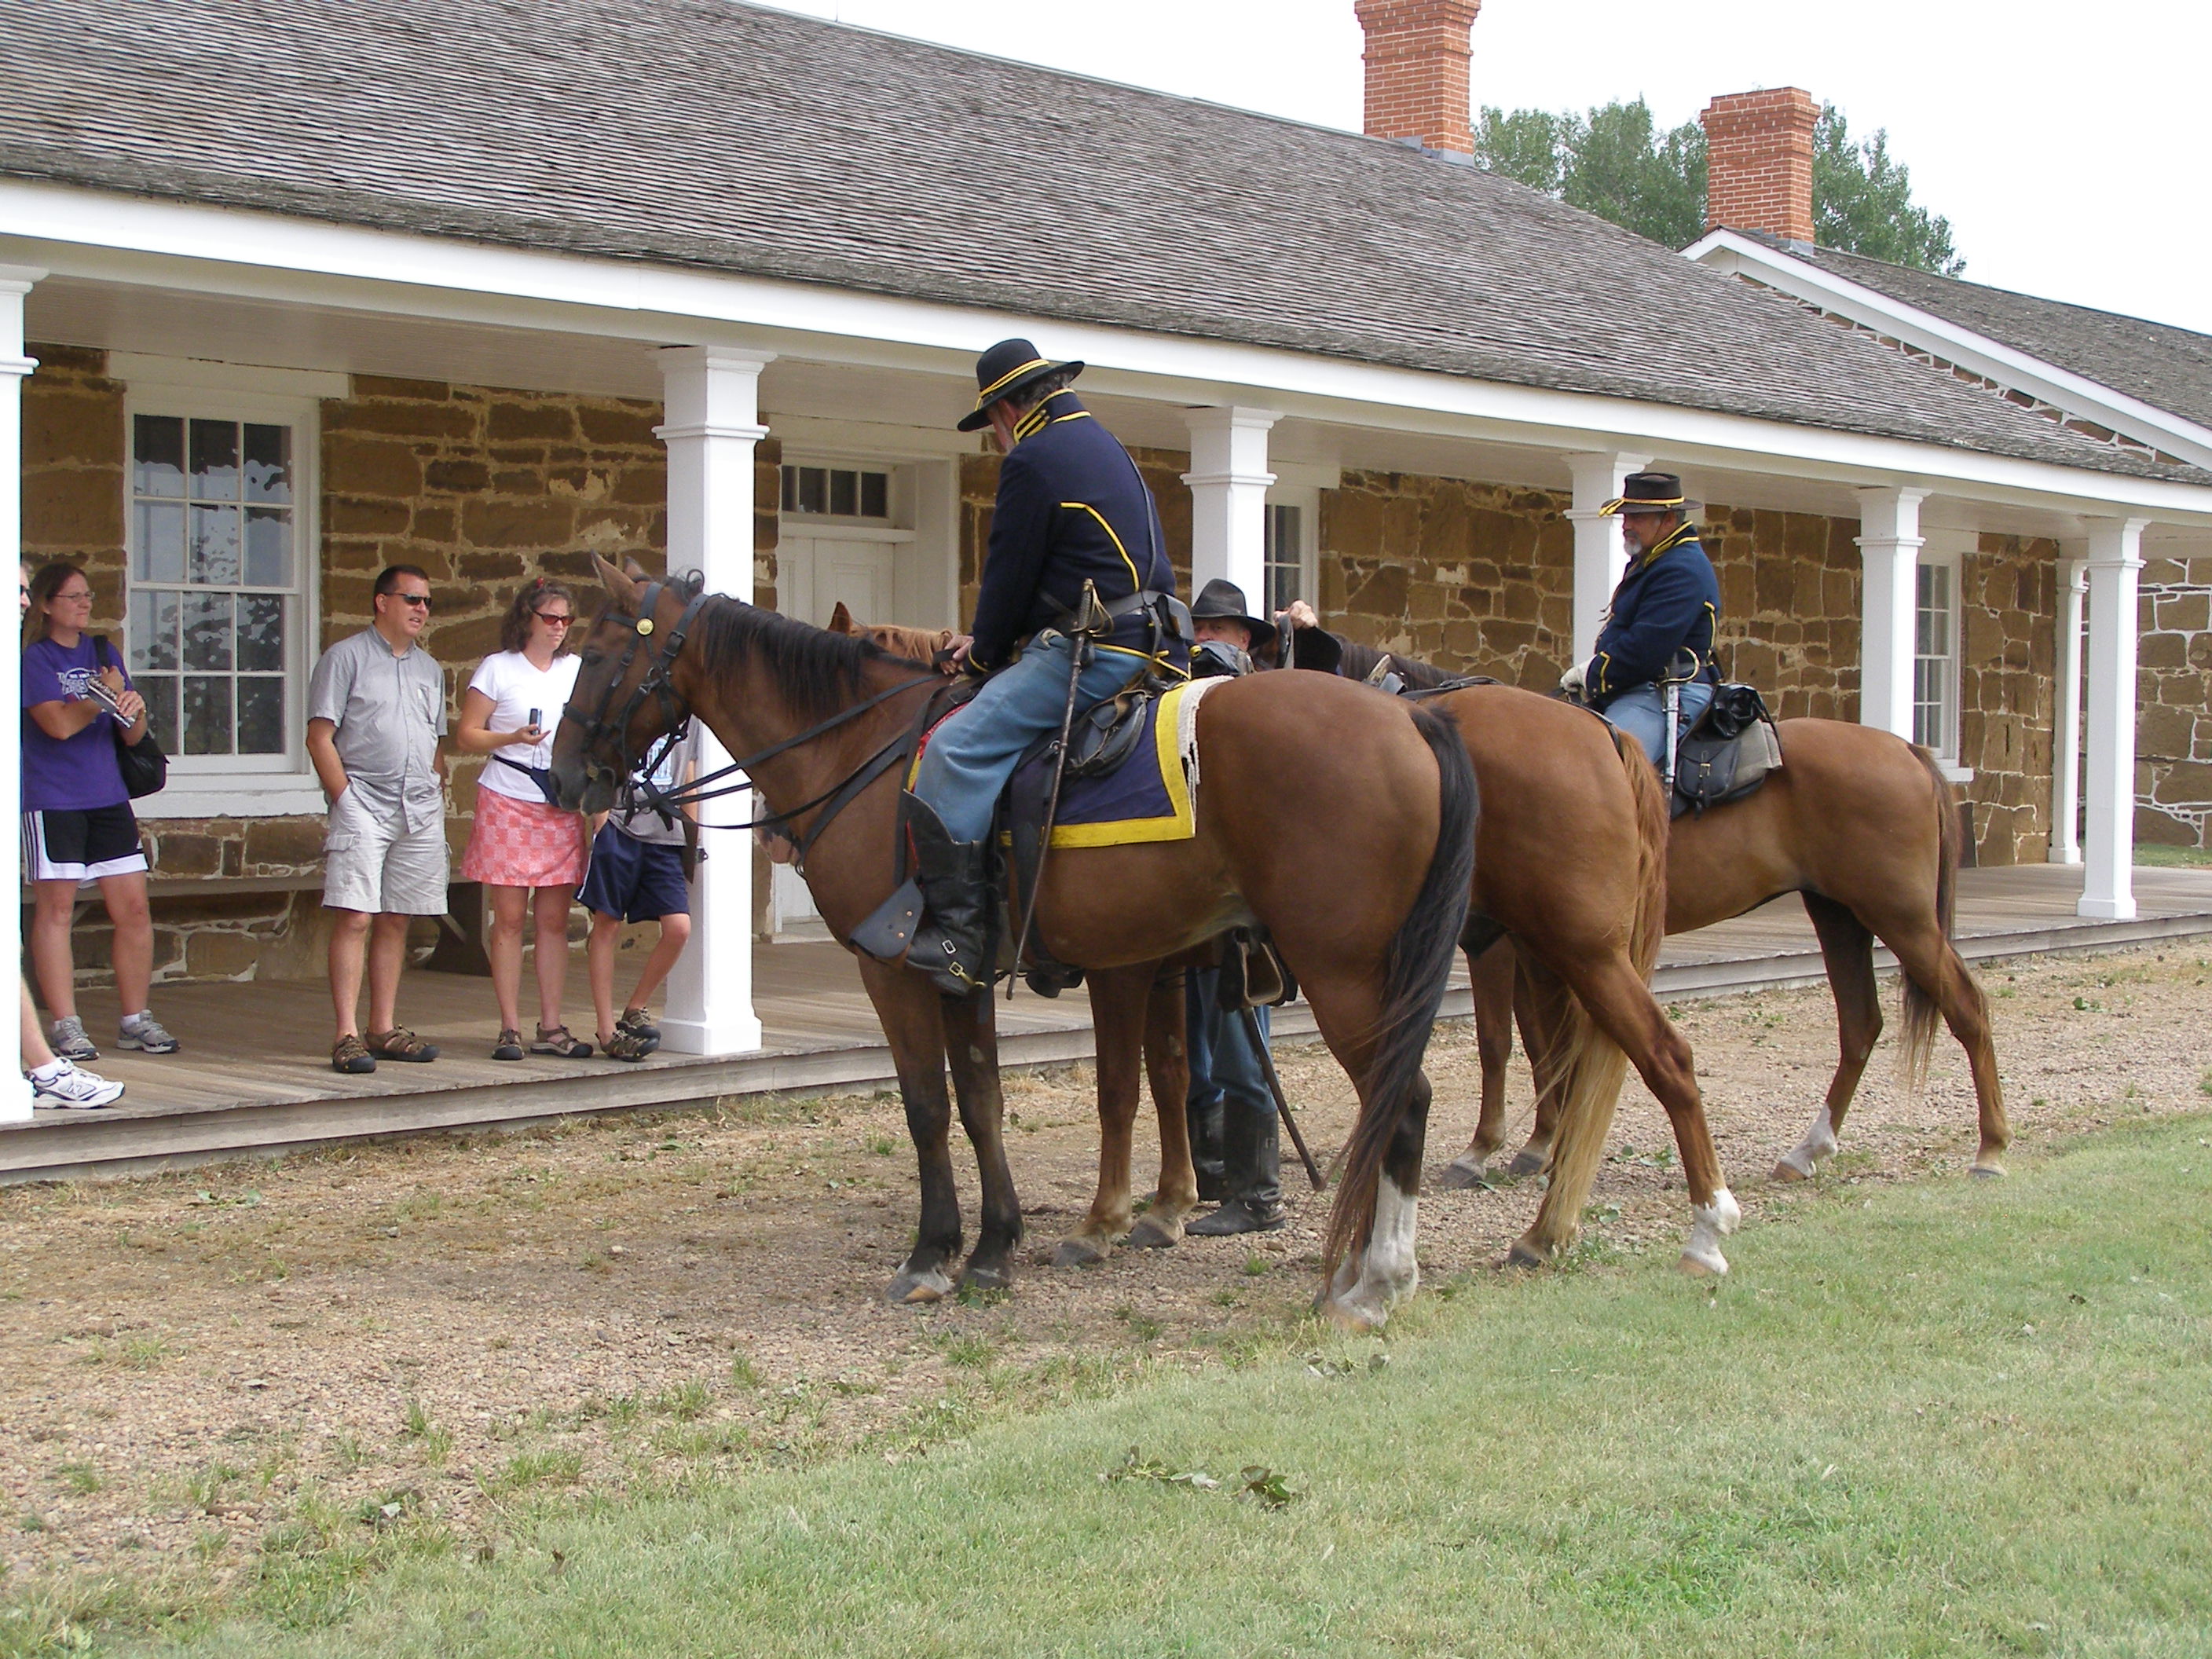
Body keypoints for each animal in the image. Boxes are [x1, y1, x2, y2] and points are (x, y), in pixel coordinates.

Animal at [551, 559, 1491, 1330]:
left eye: (593, 655)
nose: (562, 777)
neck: (863, 752)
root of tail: (1410, 726)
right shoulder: (967, 975)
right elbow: (985, 1101)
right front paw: (998, 1246)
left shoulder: (895, 972)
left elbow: (932, 1108)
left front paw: (933, 1255)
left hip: (1343, 975)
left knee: (1403, 1100)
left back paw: (1377, 1283)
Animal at [847, 615, 1733, 1278]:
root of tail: (1598, 735)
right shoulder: (1151, 968)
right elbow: (1157, 1081)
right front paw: (1162, 1205)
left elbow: (1083, 1091)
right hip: (1559, 953)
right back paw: (1547, 1222)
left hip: (1558, 952)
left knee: (1645, 1059)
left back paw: (1678, 1223)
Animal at [1460, 717, 2008, 1186]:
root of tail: (1905, 748)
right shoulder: (1540, 949)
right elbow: (1542, 1045)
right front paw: (1539, 1146)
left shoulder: (1506, 947)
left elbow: (1501, 1042)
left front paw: (1489, 1149)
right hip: (1838, 916)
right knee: (1860, 1024)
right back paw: (1807, 1151)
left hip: (1903, 920)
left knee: (1967, 1008)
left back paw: (1991, 1149)